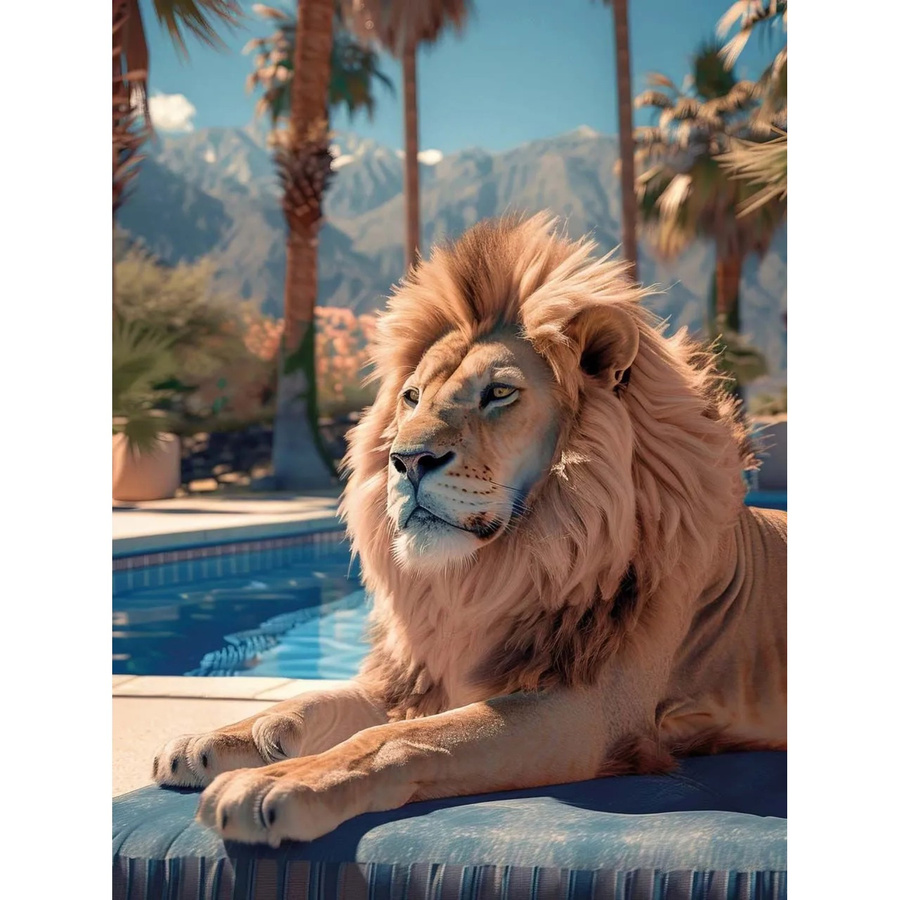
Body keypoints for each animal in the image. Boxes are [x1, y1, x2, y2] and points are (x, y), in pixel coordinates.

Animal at [152, 213, 787, 846]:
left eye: (499, 393)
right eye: (411, 397)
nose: (406, 461)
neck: (489, 578)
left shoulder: (590, 711)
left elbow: (391, 739)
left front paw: (277, 781)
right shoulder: (420, 676)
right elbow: (320, 699)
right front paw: (218, 739)